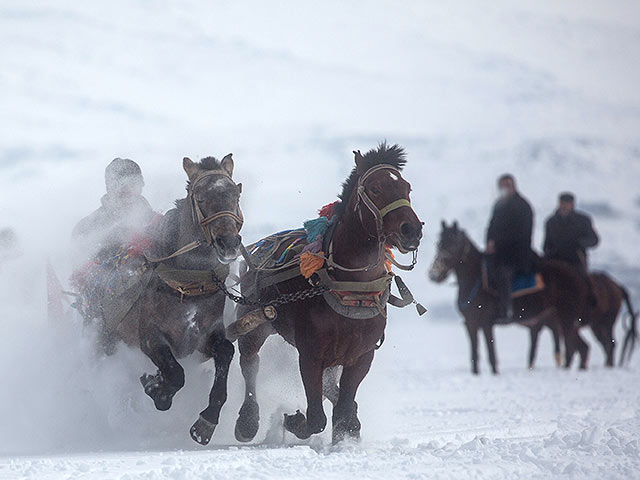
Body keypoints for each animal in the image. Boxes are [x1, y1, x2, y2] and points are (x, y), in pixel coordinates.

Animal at [74, 143, 424, 446]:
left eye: (407, 188)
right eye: (200, 197)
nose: (412, 230)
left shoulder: (360, 355)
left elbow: (227, 355)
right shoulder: (150, 335)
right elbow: (176, 372)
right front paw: (158, 390)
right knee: (250, 363)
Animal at [428, 221, 636, 376]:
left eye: (453, 244)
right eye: (438, 243)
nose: (434, 274)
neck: (476, 279)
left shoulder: (485, 322)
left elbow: (491, 354)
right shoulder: (471, 323)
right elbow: (476, 353)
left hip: (573, 319)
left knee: (583, 348)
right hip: (574, 322)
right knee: (586, 348)